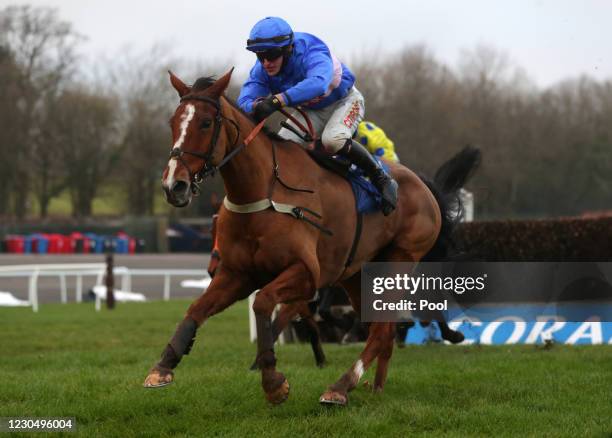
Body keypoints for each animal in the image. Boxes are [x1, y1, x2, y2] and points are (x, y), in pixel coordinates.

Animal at [146, 69, 480, 408]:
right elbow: (196, 309)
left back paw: (341, 386)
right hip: (356, 273)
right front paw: (163, 366)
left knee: (381, 330)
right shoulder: (236, 273)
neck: (264, 192)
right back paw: (375, 387)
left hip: (399, 261)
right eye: (173, 123)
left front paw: (273, 381)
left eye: (205, 123)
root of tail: (423, 183)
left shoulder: (306, 274)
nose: (174, 186)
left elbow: (264, 303)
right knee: (380, 329)